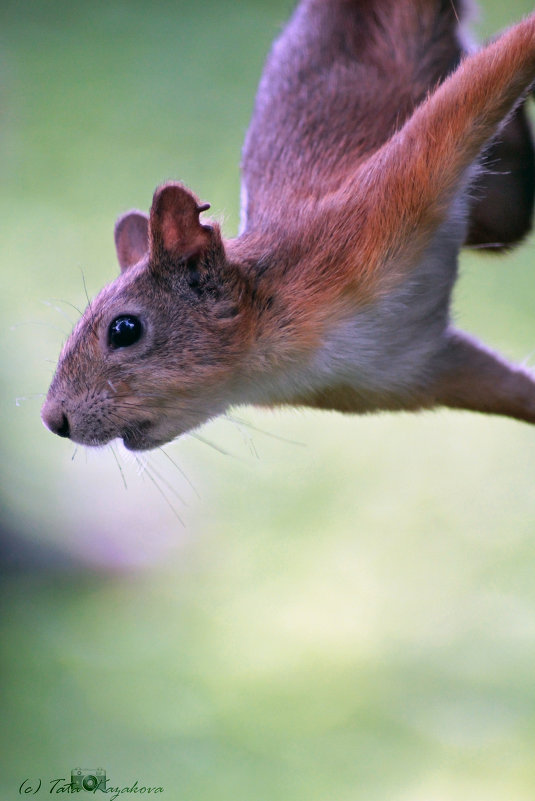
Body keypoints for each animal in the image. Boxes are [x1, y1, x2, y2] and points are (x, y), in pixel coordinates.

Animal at [43, 1, 535, 450]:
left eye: (124, 330)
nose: (53, 420)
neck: (282, 356)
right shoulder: (412, 371)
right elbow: (510, 390)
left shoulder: (382, 205)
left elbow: (479, 83)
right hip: (500, 215)